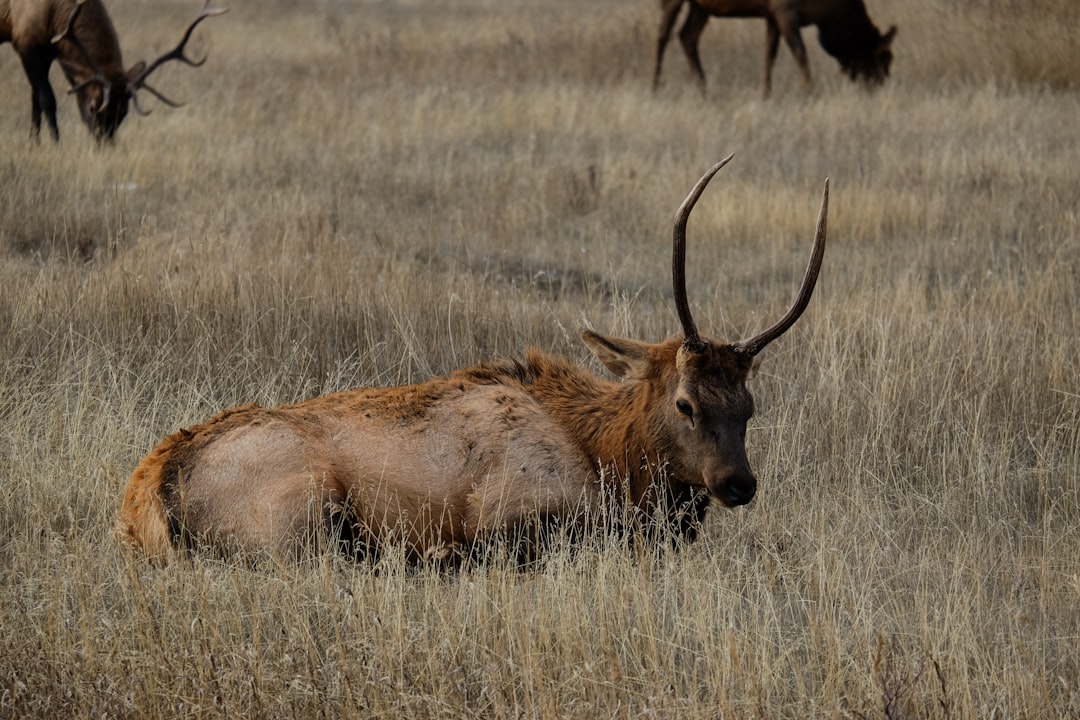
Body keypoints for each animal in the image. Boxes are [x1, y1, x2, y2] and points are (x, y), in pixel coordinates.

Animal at [0, 0, 223, 142]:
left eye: (123, 112)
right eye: (92, 107)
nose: (103, 144)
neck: (54, 16)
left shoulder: (46, 52)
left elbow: (34, 100)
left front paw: (34, 144)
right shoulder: (25, 43)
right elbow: (47, 99)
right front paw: (55, 144)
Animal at [113, 158, 829, 569]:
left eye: (749, 407)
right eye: (686, 402)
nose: (738, 483)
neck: (607, 457)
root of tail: (148, 495)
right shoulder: (508, 516)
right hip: (305, 515)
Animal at [652, 0, 898, 97]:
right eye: (883, 57)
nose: (880, 85)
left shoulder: (771, 14)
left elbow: (769, 55)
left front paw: (765, 94)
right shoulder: (785, 9)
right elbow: (800, 53)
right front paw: (810, 92)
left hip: (701, 6)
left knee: (687, 36)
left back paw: (703, 87)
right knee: (662, 35)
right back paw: (655, 84)